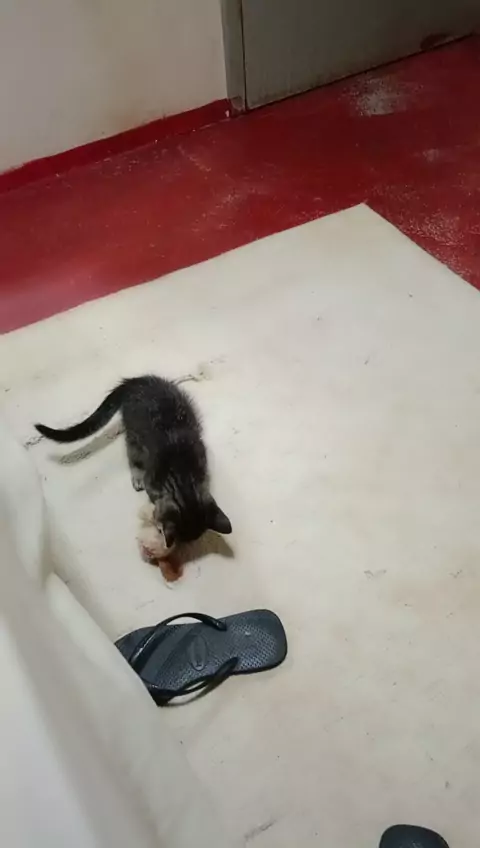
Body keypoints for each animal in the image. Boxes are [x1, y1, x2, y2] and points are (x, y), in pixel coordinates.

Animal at [35, 375, 231, 555]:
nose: (172, 544)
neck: (182, 474)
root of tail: (136, 381)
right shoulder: (152, 478)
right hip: (133, 434)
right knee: (132, 453)